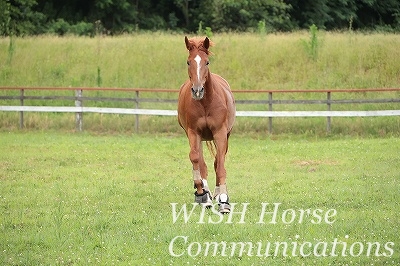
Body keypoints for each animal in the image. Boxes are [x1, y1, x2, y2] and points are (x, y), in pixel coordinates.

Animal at [177, 35, 236, 214]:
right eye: (188, 62)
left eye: (207, 62)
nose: (197, 90)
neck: (205, 103)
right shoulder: (193, 132)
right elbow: (196, 159)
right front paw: (201, 193)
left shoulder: (220, 133)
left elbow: (220, 165)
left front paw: (224, 200)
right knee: (201, 163)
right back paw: (206, 195)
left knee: (217, 161)